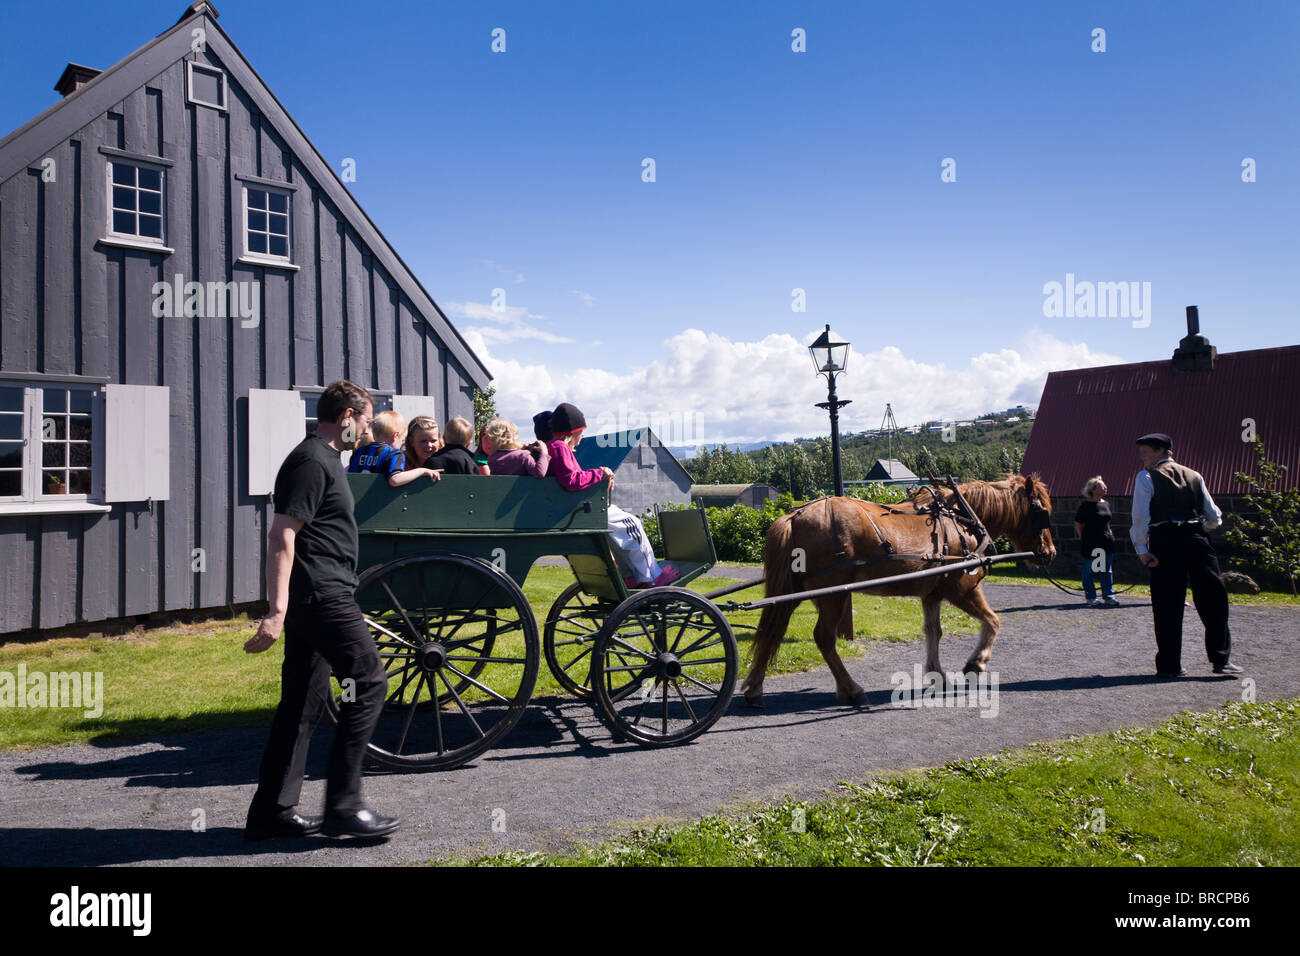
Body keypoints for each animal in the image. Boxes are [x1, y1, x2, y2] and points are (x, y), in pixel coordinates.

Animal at [743, 476, 1055, 707]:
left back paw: (755, 688)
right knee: (823, 638)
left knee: (773, 630)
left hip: (804, 593)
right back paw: (851, 688)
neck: (961, 520)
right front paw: (975, 664)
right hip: (834, 595)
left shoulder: (932, 594)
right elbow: (993, 620)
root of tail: (794, 516)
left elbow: (933, 631)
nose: (1050, 552)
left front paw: (936, 674)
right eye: (1042, 513)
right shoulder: (962, 588)